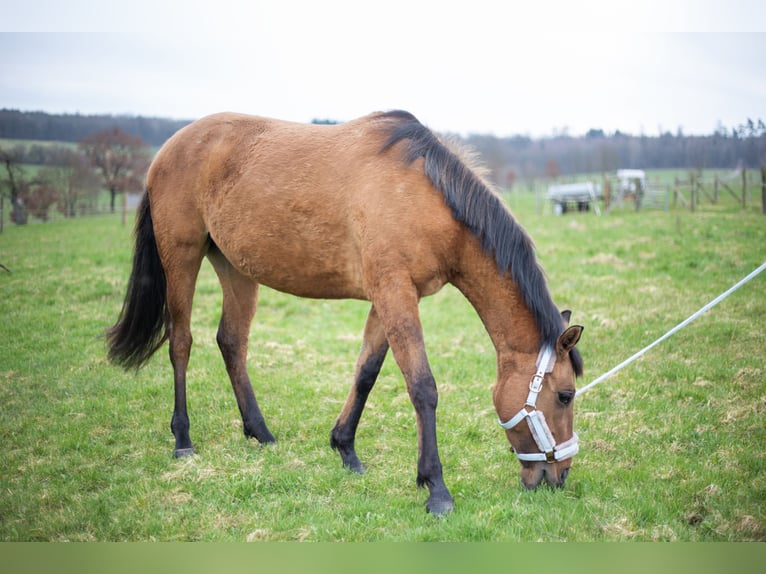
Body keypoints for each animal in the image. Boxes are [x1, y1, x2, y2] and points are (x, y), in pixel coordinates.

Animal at [108, 110, 584, 516]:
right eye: (565, 395)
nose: (559, 474)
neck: (423, 195)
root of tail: (170, 147)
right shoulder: (394, 292)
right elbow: (422, 387)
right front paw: (436, 488)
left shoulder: (389, 296)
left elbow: (366, 372)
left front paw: (346, 449)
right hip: (182, 256)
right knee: (181, 343)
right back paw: (183, 439)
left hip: (235, 267)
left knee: (231, 342)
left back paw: (260, 432)